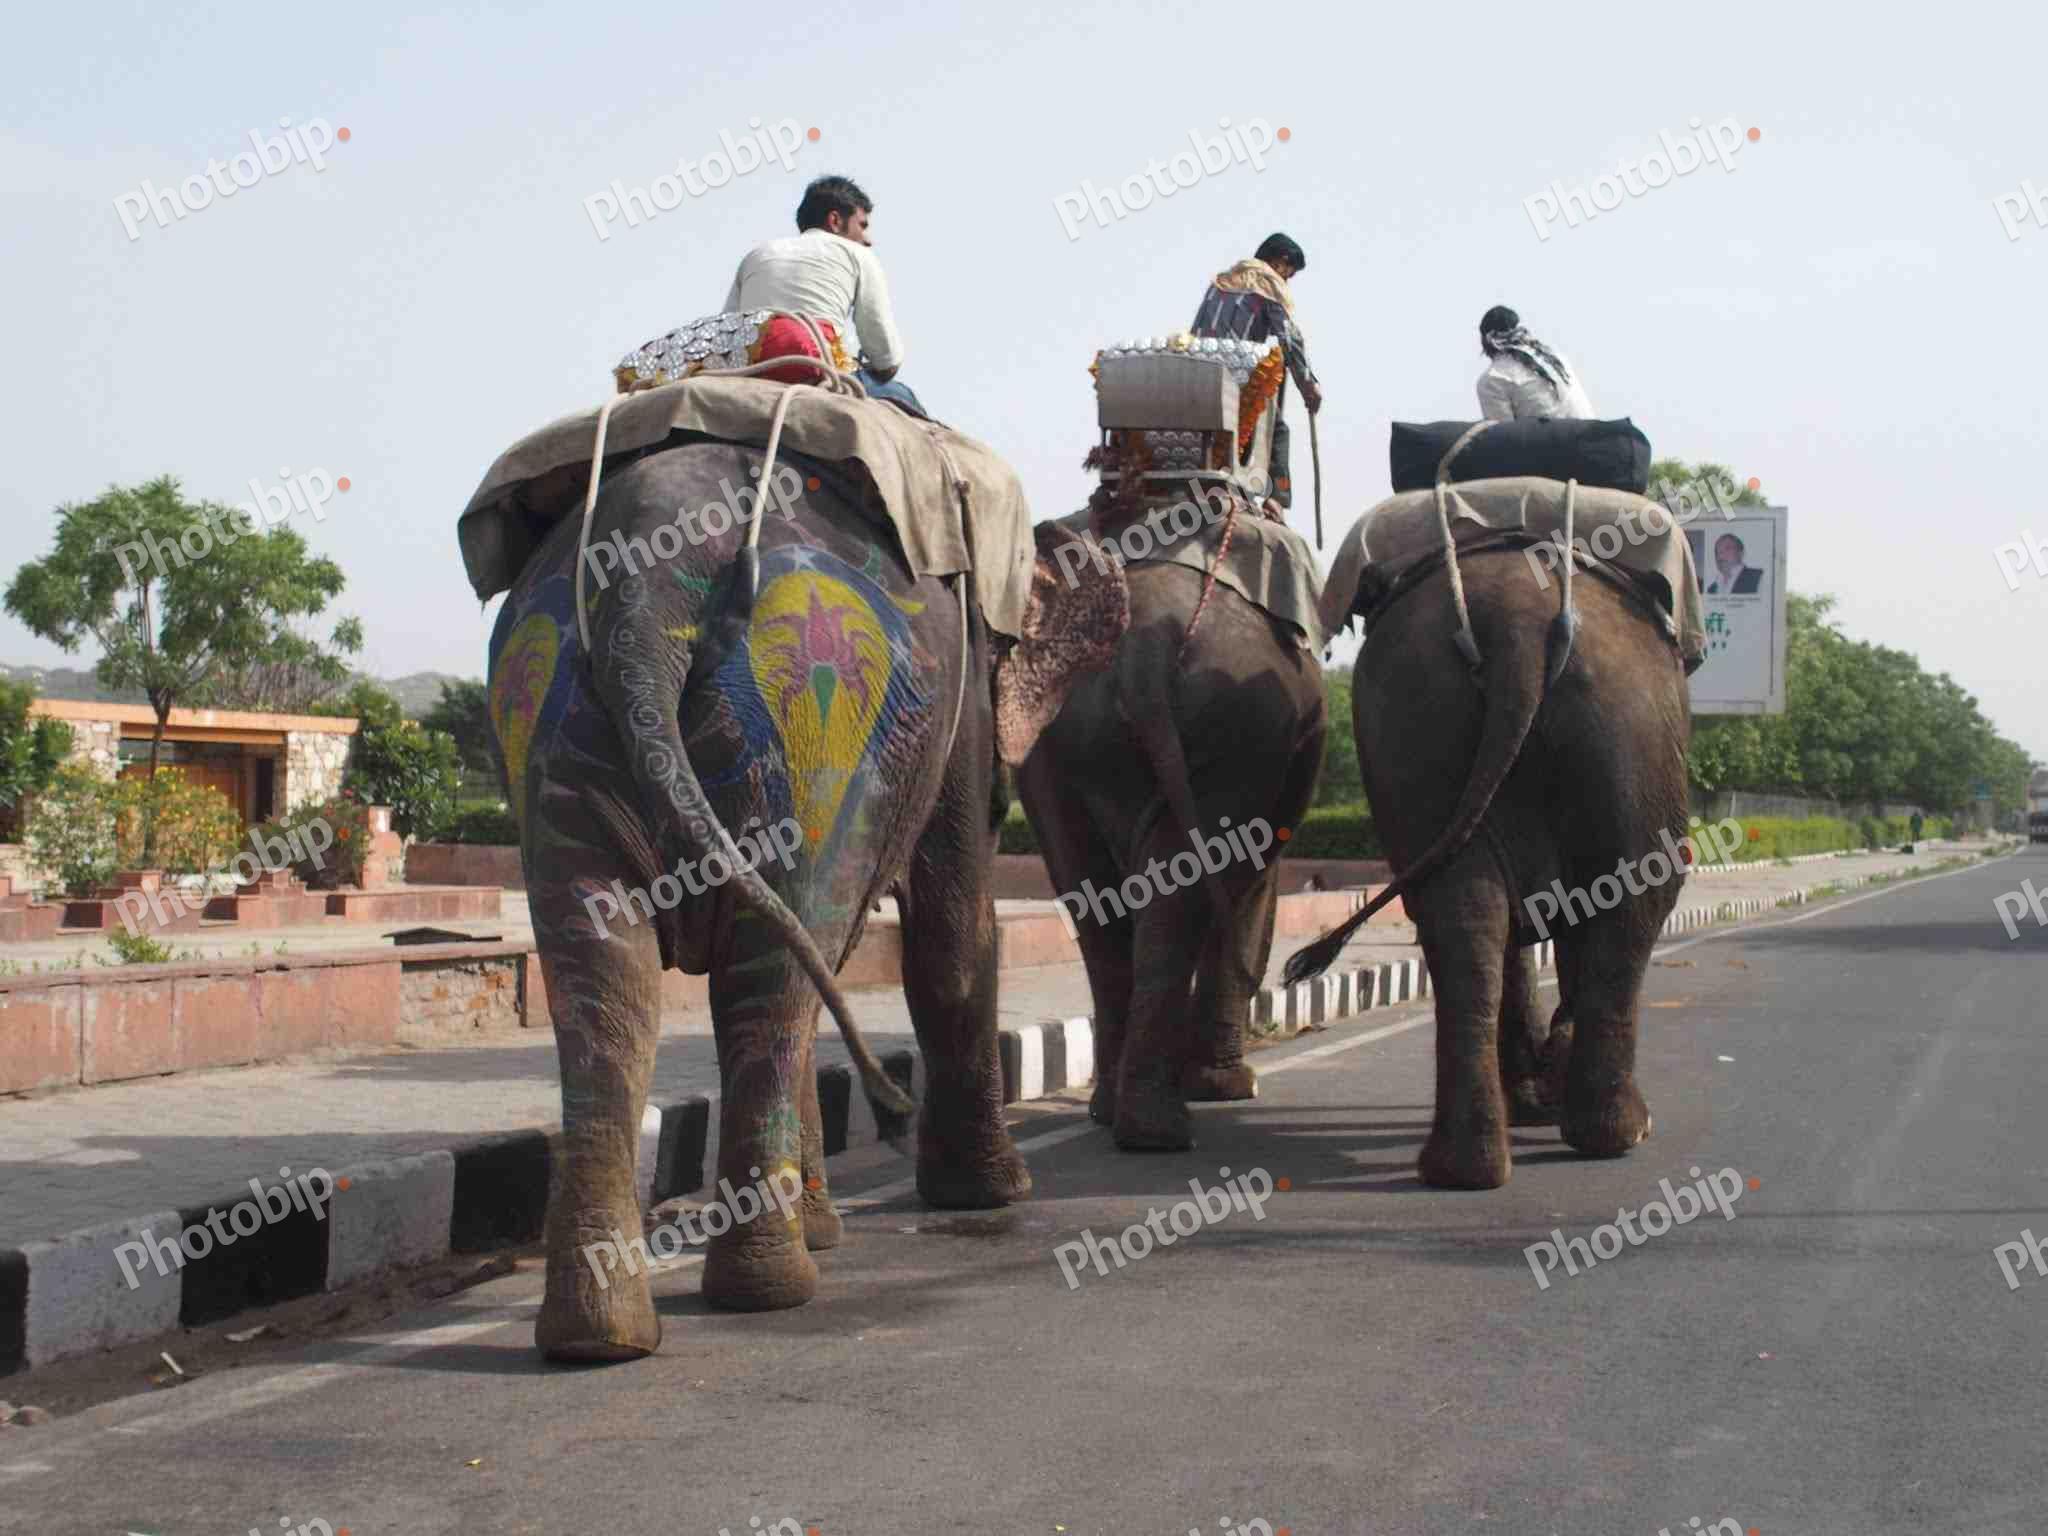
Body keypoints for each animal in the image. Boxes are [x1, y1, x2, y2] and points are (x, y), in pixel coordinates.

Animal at [484, 434, 1119, 1360]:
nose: (892, 1114)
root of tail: (643, 585)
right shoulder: (960, 703)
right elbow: (953, 930)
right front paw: (995, 1194)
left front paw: (829, 1221)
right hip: (803, 733)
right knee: (775, 971)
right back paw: (770, 1291)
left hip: (552, 724)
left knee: (608, 976)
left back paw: (600, 1336)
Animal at [1016, 526, 1327, 1153]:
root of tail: (1146, 644)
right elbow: (1251, 891)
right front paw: (1228, 1087)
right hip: (1237, 733)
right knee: (1185, 893)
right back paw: (1158, 1131)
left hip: (1061, 742)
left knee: (1092, 899)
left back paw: (1116, 1115)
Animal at [1288, 542, 1690, 1189]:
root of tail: (1517, 623)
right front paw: (1544, 1090)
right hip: (1629, 723)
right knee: (1639, 900)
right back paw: (1616, 1134)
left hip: (1422, 722)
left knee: (1461, 912)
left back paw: (1467, 1166)